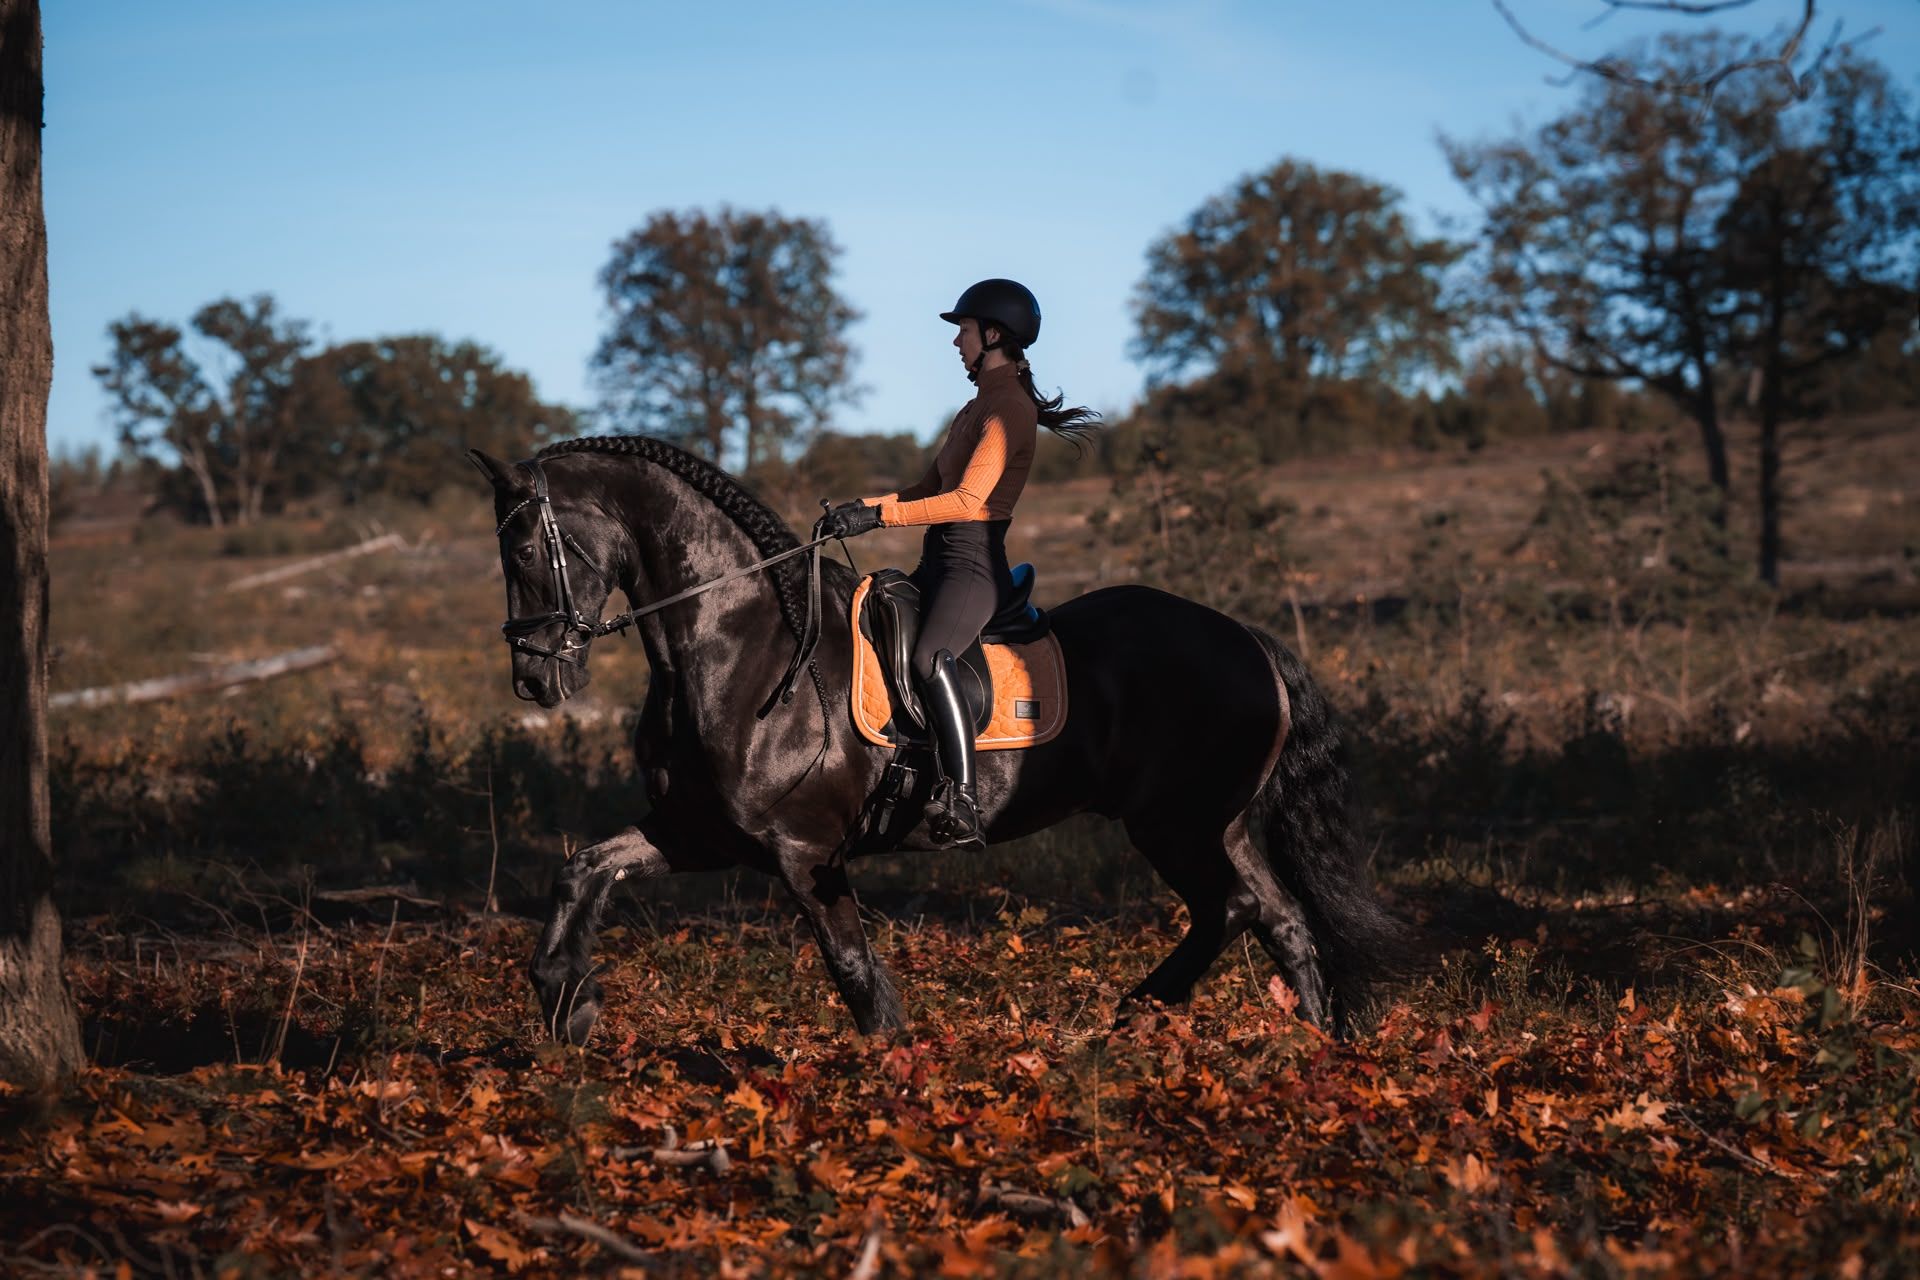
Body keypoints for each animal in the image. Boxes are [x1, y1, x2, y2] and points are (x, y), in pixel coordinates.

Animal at [470, 436, 1405, 1044]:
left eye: (526, 548)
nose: (535, 679)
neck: (743, 648)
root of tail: (1248, 639)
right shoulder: (701, 834)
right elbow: (583, 868)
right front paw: (566, 1002)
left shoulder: (804, 852)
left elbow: (853, 973)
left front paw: (897, 1074)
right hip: (1222, 821)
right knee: (1283, 920)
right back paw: (1315, 1051)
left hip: (1173, 823)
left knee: (1233, 909)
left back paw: (1132, 1014)